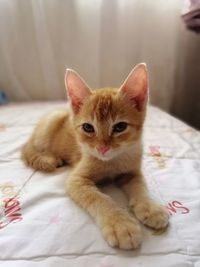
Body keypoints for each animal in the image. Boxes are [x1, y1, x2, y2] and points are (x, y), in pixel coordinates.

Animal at [21, 63, 169, 250]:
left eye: (120, 127)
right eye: (88, 127)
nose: (102, 148)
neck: (112, 162)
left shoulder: (132, 172)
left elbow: (141, 186)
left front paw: (150, 207)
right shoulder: (76, 180)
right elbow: (99, 198)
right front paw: (120, 223)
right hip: (49, 124)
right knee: (31, 149)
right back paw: (47, 156)